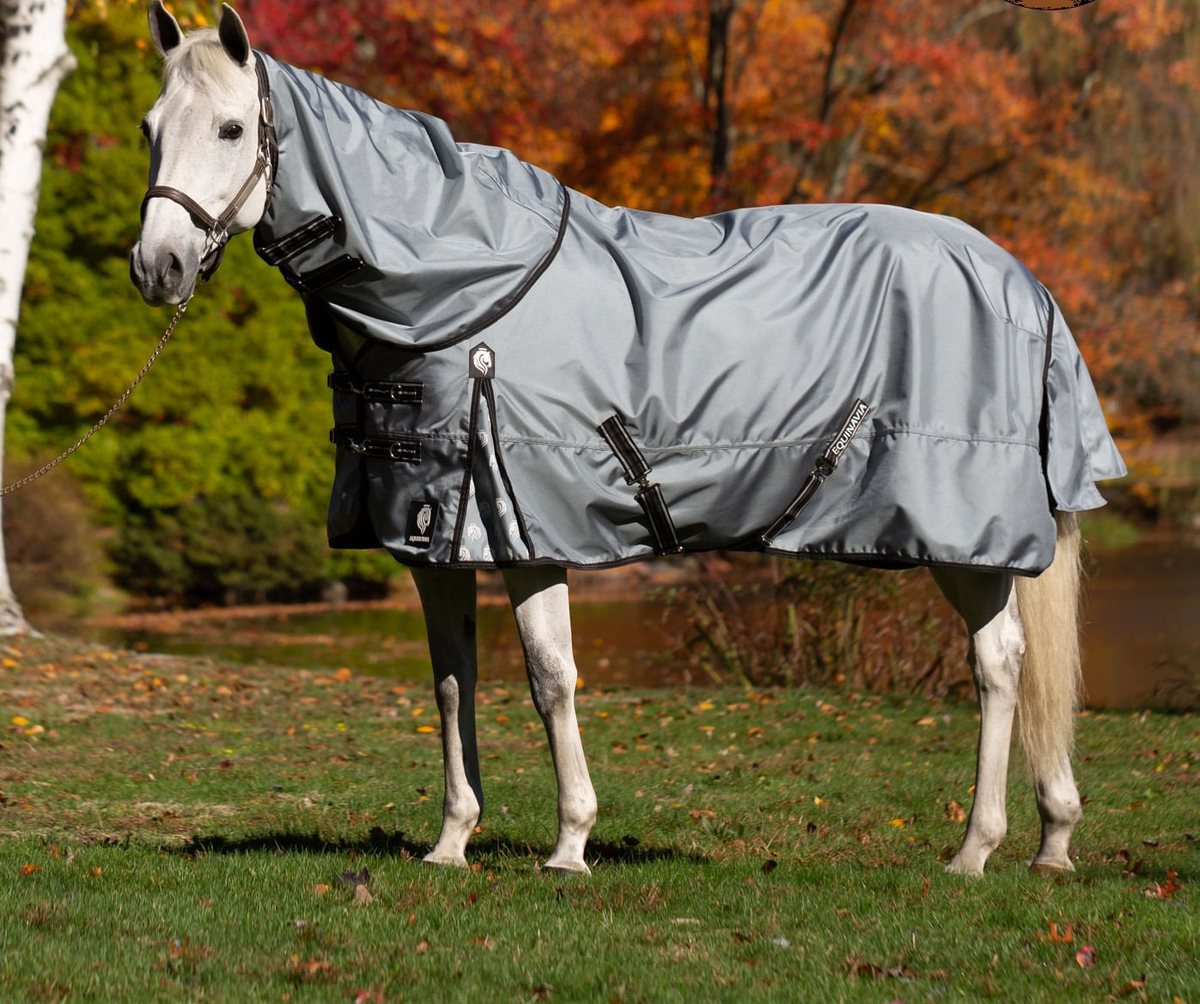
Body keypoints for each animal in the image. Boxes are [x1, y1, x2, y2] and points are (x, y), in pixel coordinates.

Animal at [130, 3, 1125, 876]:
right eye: (149, 127)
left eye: (231, 128)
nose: (156, 267)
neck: (461, 287)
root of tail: (1021, 280)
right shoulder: (436, 537)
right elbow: (453, 680)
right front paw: (451, 843)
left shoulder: (530, 532)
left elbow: (550, 678)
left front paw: (570, 844)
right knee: (1011, 665)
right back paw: (1049, 841)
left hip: (964, 537)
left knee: (997, 668)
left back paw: (976, 850)